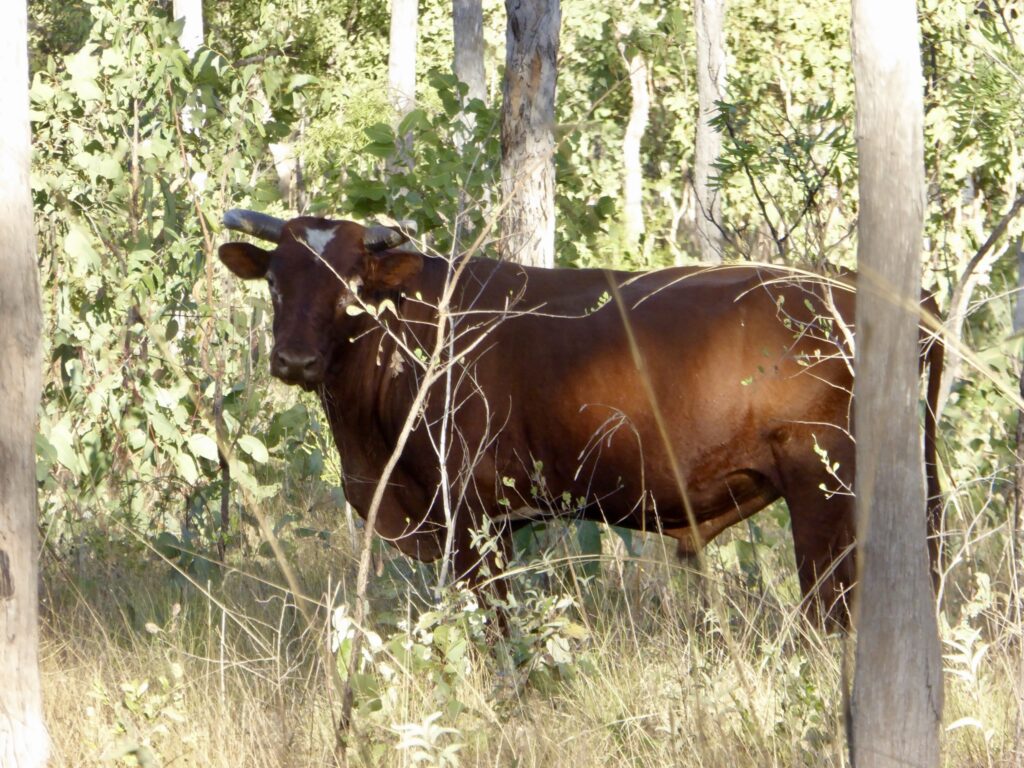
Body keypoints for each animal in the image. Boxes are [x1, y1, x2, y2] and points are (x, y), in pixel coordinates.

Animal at [218, 209, 943, 625]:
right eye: (276, 281)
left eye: (349, 285)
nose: (294, 358)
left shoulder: (472, 515)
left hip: (821, 487)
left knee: (832, 612)